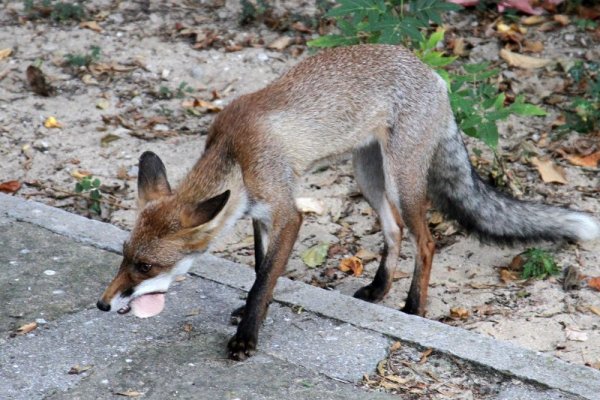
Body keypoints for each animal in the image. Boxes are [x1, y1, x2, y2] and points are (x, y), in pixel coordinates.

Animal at [96, 43, 596, 360]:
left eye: (146, 266)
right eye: (124, 256)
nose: (101, 306)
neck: (235, 155)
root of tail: (433, 72)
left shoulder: (288, 213)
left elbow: (263, 281)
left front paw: (246, 336)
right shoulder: (261, 216)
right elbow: (260, 270)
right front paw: (246, 313)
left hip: (403, 179)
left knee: (426, 240)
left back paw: (414, 308)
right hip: (367, 174)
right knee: (394, 230)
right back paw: (378, 290)